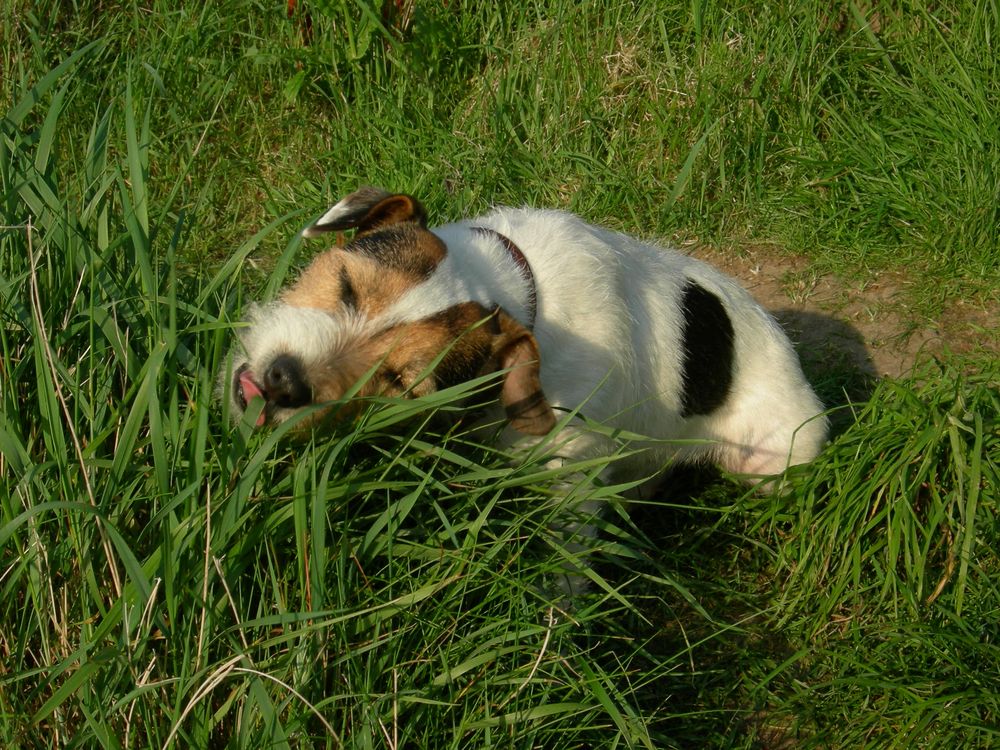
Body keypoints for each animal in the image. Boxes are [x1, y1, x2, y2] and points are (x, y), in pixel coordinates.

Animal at [229, 188, 828, 490]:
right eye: (347, 286)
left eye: (401, 382)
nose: (284, 381)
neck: (513, 284)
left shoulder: (569, 476)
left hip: (777, 457)